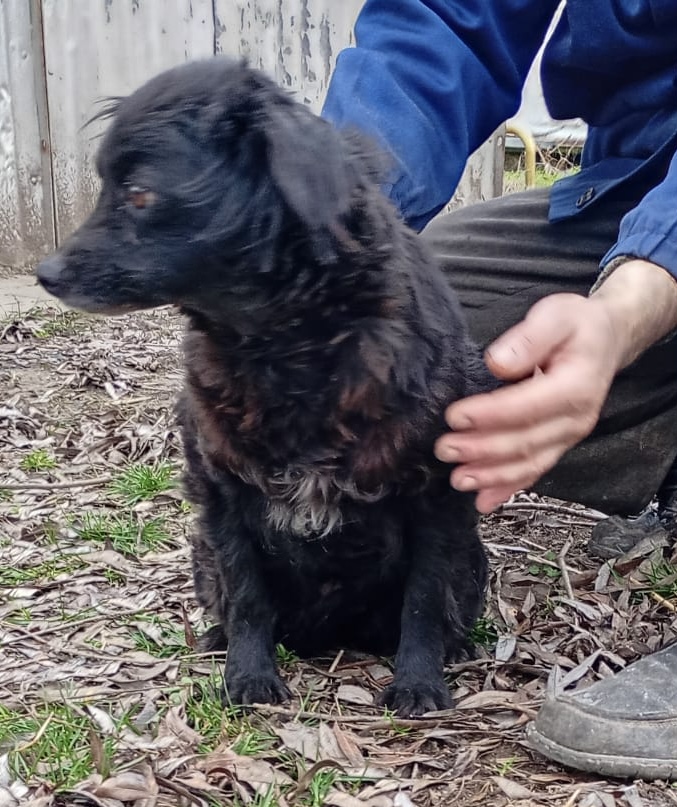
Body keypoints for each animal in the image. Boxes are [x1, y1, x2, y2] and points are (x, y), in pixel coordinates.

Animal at [36, 58, 493, 717]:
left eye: (139, 193)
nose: (43, 273)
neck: (284, 350)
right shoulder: (223, 493)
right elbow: (249, 596)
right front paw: (247, 677)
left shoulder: (436, 496)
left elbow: (425, 599)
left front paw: (419, 683)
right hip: (201, 553)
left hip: (471, 560)